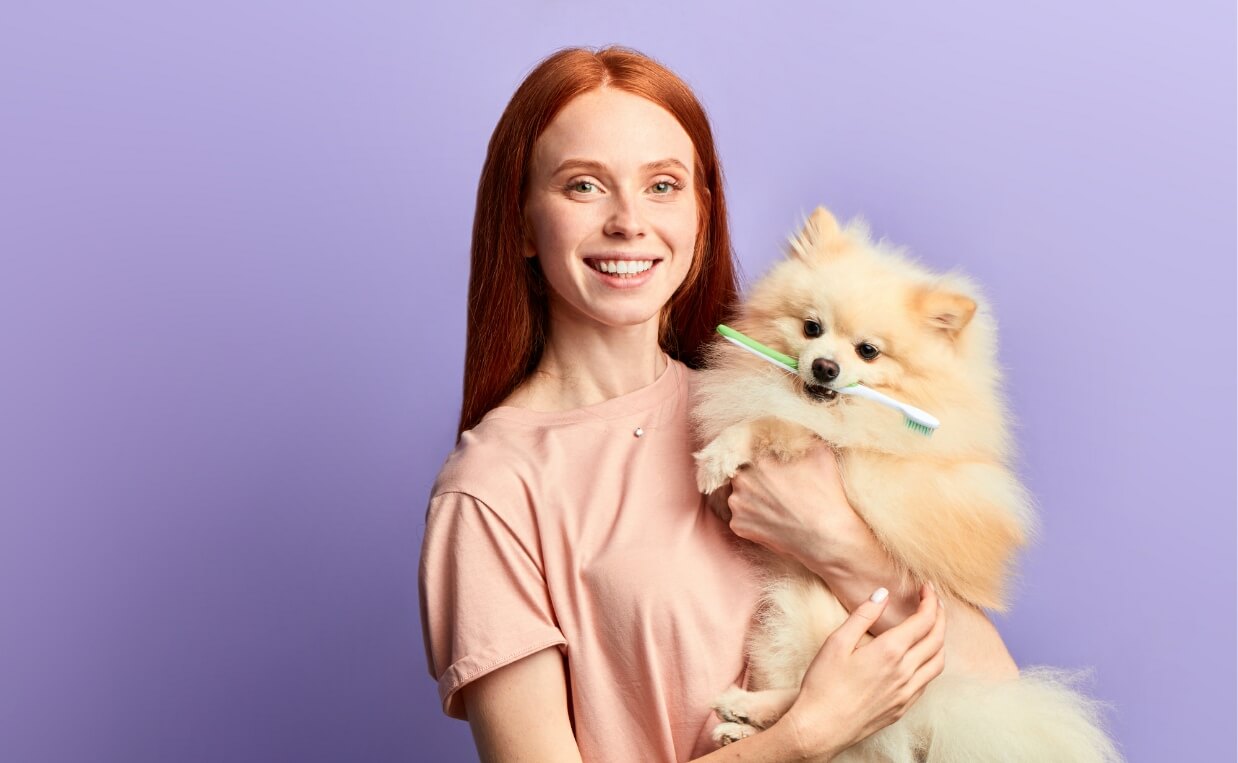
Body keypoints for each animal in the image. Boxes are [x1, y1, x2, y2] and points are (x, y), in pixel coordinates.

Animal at [698, 206, 1124, 763]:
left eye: (869, 351)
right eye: (811, 327)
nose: (825, 367)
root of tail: (936, 705)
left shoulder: (851, 450)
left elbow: (772, 423)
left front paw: (718, 457)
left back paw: (749, 714)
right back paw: (743, 721)